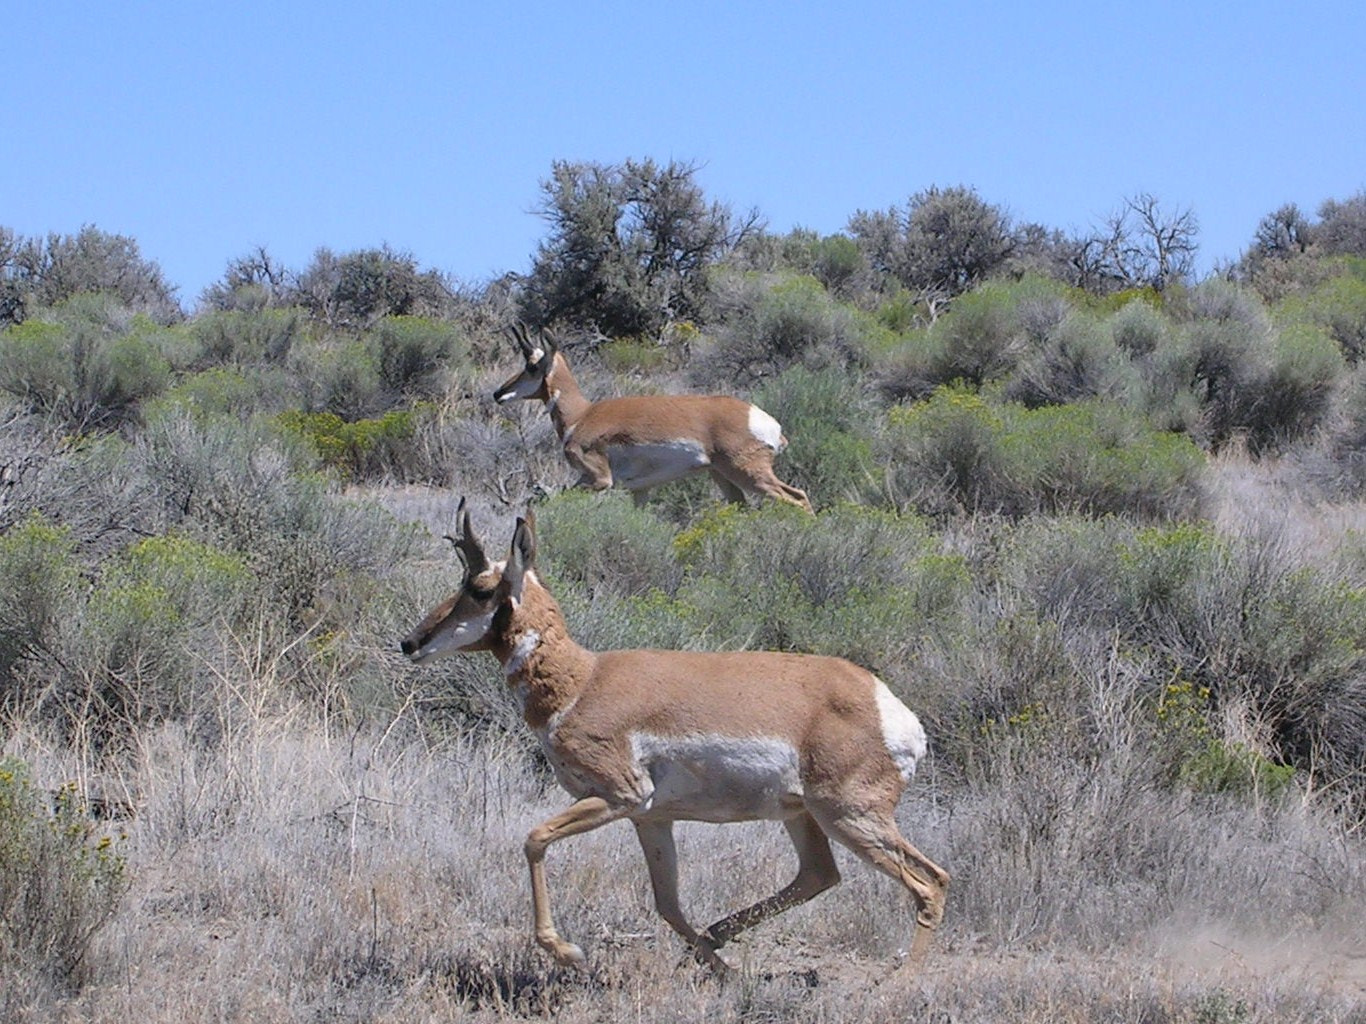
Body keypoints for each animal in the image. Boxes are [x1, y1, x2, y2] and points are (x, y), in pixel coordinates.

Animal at [398, 502, 945, 972]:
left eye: (480, 589)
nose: (410, 642)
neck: (584, 681)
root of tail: (890, 708)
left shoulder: (619, 796)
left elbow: (534, 839)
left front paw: (566, 950)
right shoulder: (650, 817)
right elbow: (667, 904)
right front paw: (719, 969)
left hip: (849, 817)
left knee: (931, 883)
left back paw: (900, 983)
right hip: (803, 815)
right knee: (820, 875)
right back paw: (720, 936)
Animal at [494, 324, 808, 513]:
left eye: (531, 366)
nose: (498, 393)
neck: (582, 416)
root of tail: (763, 419)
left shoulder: (598, 480)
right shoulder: (639, 490)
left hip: (748, 473)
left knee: (798, 498)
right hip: (722, 476)